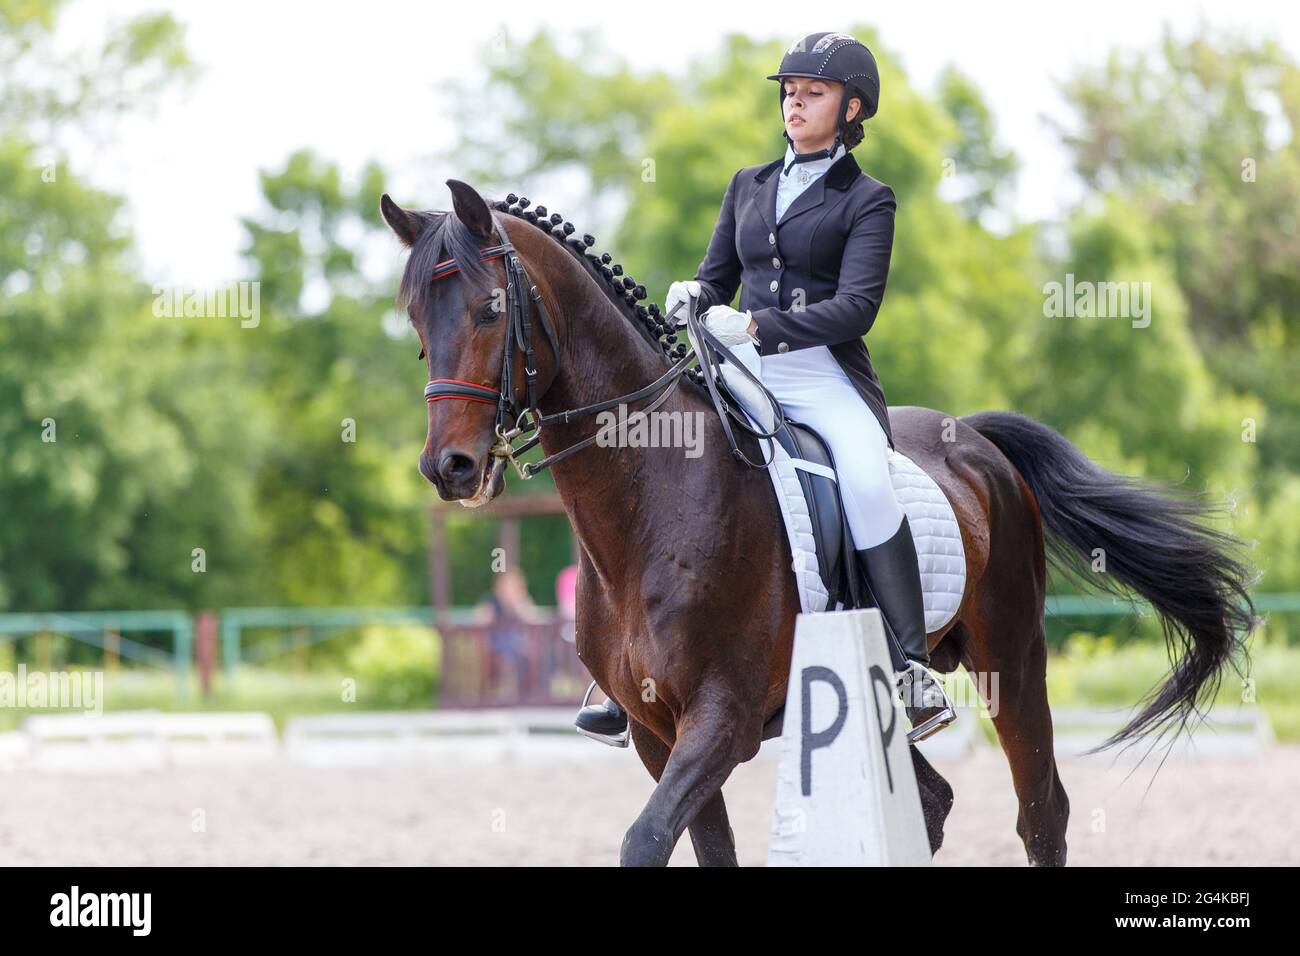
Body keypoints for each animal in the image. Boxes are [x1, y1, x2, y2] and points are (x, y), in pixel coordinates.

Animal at [379, 179, 1253, 868]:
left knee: (1043, 813)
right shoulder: (657, 732)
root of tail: (976, 439)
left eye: (490, 310)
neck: (652, 501)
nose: (450, 468)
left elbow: (645, 840)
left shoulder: (721, 721)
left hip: (1013, 658)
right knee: (933, 803)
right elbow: (703, 849)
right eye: (416, 318)